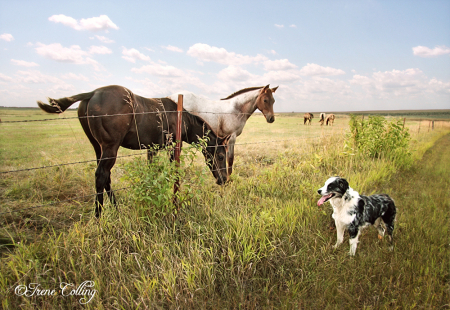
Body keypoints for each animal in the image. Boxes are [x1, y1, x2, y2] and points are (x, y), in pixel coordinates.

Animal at [37, 85, 229, 218]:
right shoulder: (173, 146)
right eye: (220, 155)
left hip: (98, 147)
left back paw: (116, 210)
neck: (180, 117)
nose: (223, 179)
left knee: (106, 177)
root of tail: (92, 93)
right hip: (110, 147)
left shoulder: (152, 148)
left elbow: (152, 171)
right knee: (101, 176)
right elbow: (172, 172)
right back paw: (98, 218)